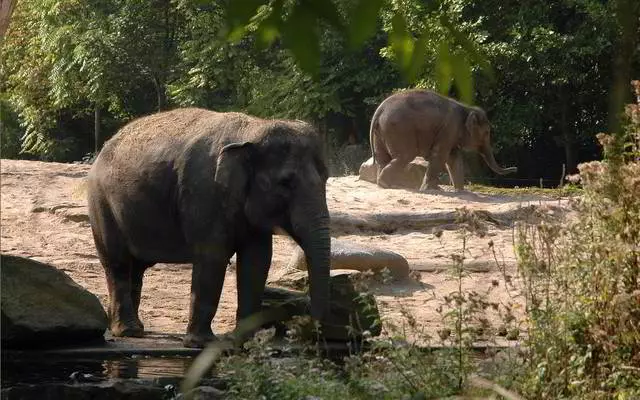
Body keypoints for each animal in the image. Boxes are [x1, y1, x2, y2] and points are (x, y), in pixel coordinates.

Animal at [86, 108, 330, 348]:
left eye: (326, 177)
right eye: (285, 183)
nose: (310, 333)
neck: (252, 128)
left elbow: (257, 261)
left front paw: (244, 343)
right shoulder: (204, 194)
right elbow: (213, 256)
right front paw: (201, 344)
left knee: (136, 267)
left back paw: (133, 329)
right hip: (102, 204)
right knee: (117, 262)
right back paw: (128, 331)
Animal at [370, 89, 516, 192]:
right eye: (487, 133)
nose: (515, 168)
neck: (466, 108)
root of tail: (380, 110)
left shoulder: (451, 133)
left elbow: (454, 157)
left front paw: (460, 191)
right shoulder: (449, 128)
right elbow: (440, 155)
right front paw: (430, 189)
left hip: (382, 132)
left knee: (383, 157)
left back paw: (386, 184)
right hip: (399, 129)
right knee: (405, 156)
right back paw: (388, 183)